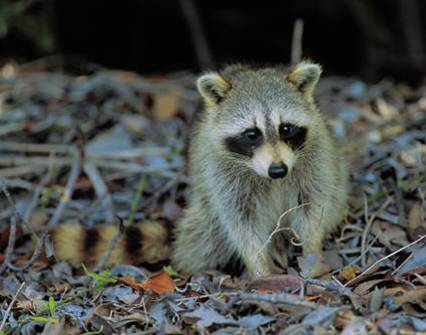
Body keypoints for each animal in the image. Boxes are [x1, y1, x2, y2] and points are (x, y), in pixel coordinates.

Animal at [171, 61, 348, 278]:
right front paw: (259, 267)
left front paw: (312, 253)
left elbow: (312, 207)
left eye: (286, 128)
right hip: (204, 213)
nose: (278, 170)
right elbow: (242, 224)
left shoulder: (316, 159)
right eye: (252, 134)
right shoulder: (222, 175)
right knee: (201, 237)